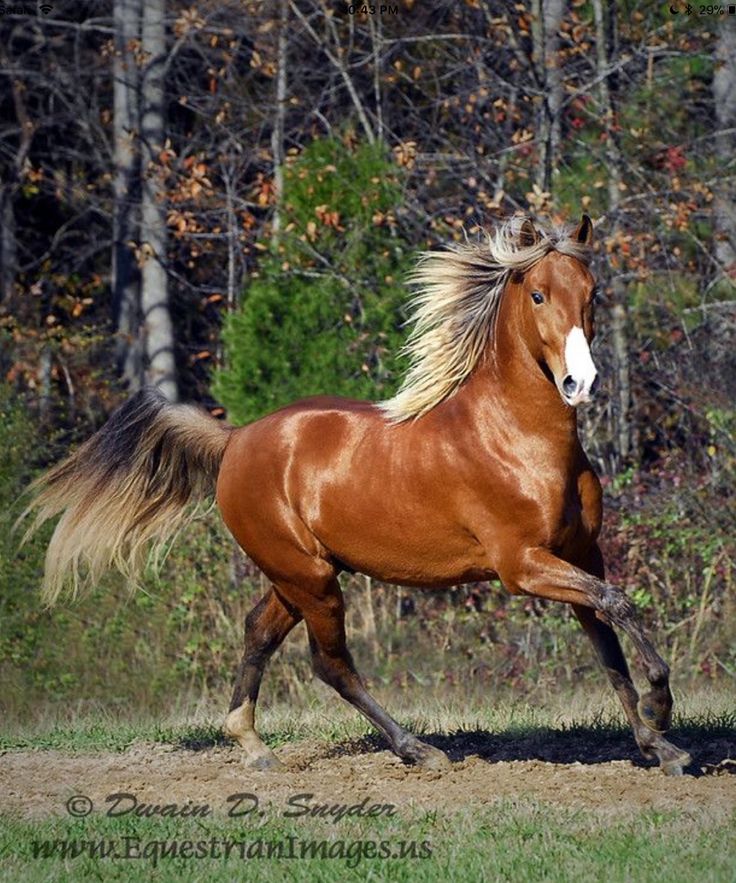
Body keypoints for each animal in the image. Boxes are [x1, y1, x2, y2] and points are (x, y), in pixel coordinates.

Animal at [21, 218, 688, 776]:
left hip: (301, 574)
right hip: (309, 577)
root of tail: (234, 439)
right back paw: (418, 749)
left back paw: (253, 745)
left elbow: (607, 643)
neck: (517, 438)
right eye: (538, 296)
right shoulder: (522, 566)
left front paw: (660, 747)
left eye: (592, 292)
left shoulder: (579, 555)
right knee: (329, 662)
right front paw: (661, 706)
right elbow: (618, 607)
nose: (581, 382)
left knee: (259, 631)